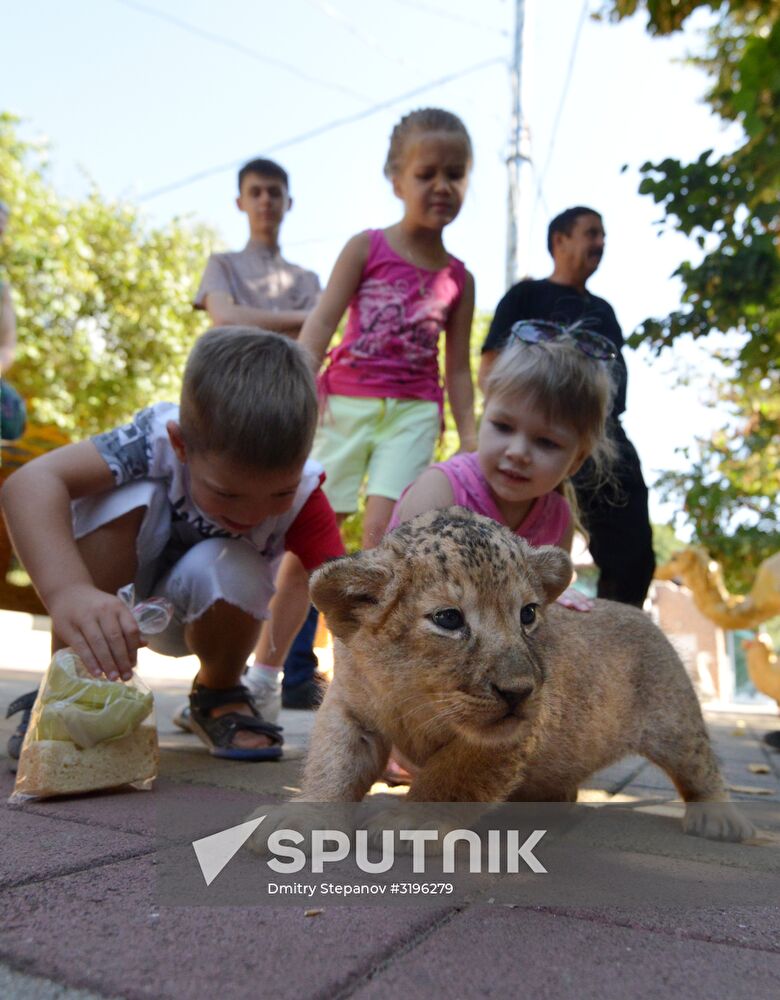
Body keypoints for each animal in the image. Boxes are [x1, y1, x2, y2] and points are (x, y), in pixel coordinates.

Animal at [258, 508, 754, 843]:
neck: (413, 694)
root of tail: (644, 616)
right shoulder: (350, 708)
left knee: (701, 765)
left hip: (675, 722)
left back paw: (719, 819)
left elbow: (449, 777)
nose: (518, 692)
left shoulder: (506, 735)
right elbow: (334, 763)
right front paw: (304, 823)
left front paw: (409, 822)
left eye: (528, 614)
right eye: (448, 619)